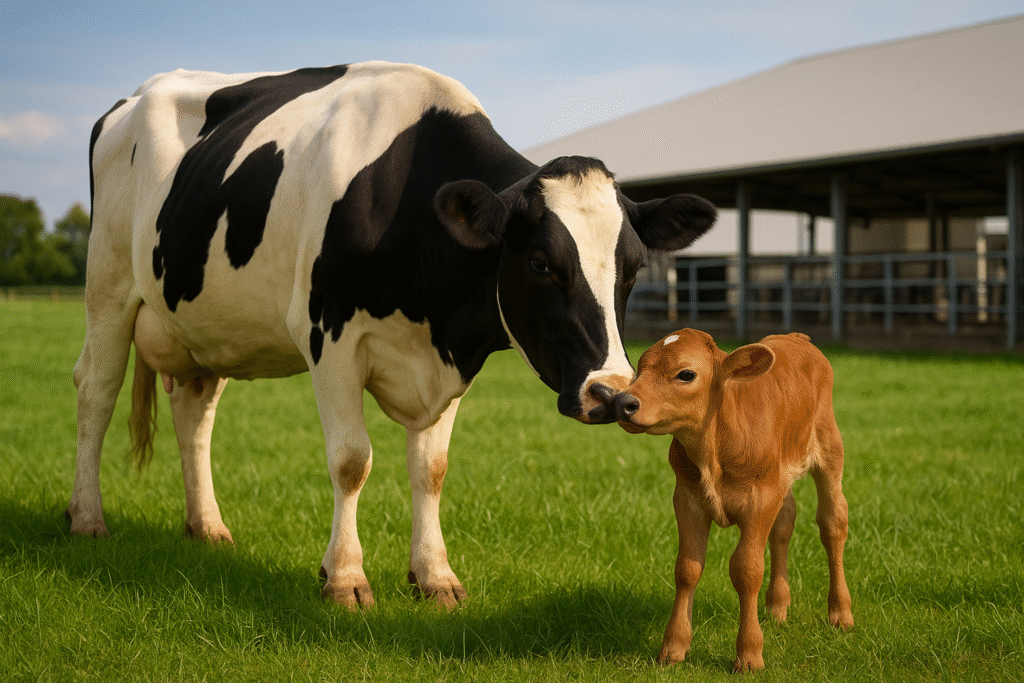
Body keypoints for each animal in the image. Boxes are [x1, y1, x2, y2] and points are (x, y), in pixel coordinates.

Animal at [66, 62, 716, 609]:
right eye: (539, 264)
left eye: (634, 267)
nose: (610, 394)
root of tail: (134, 97)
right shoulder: (328, 339)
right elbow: (352, 460)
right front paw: (345, 578)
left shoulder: (450, 358)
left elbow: (432, 467)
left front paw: (434, 576)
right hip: (107, 289)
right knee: (95, 393)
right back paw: (87, 518)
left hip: (206, 327)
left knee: (195, 416)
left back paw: (207, 527)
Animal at [613, 329, 853, 672]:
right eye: (640, 369)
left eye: (686, 374)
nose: (623, 402)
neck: (711, 447)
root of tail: (795, 336)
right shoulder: (687, 499)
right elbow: (687, 568)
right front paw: (673, 647)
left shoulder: (760, 500)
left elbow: (747, 570)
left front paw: (750, 654)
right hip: (781, 475)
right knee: (785, 524)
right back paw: (777, 607)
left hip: (829, 447)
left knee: (833, 524)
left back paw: (840, 614)